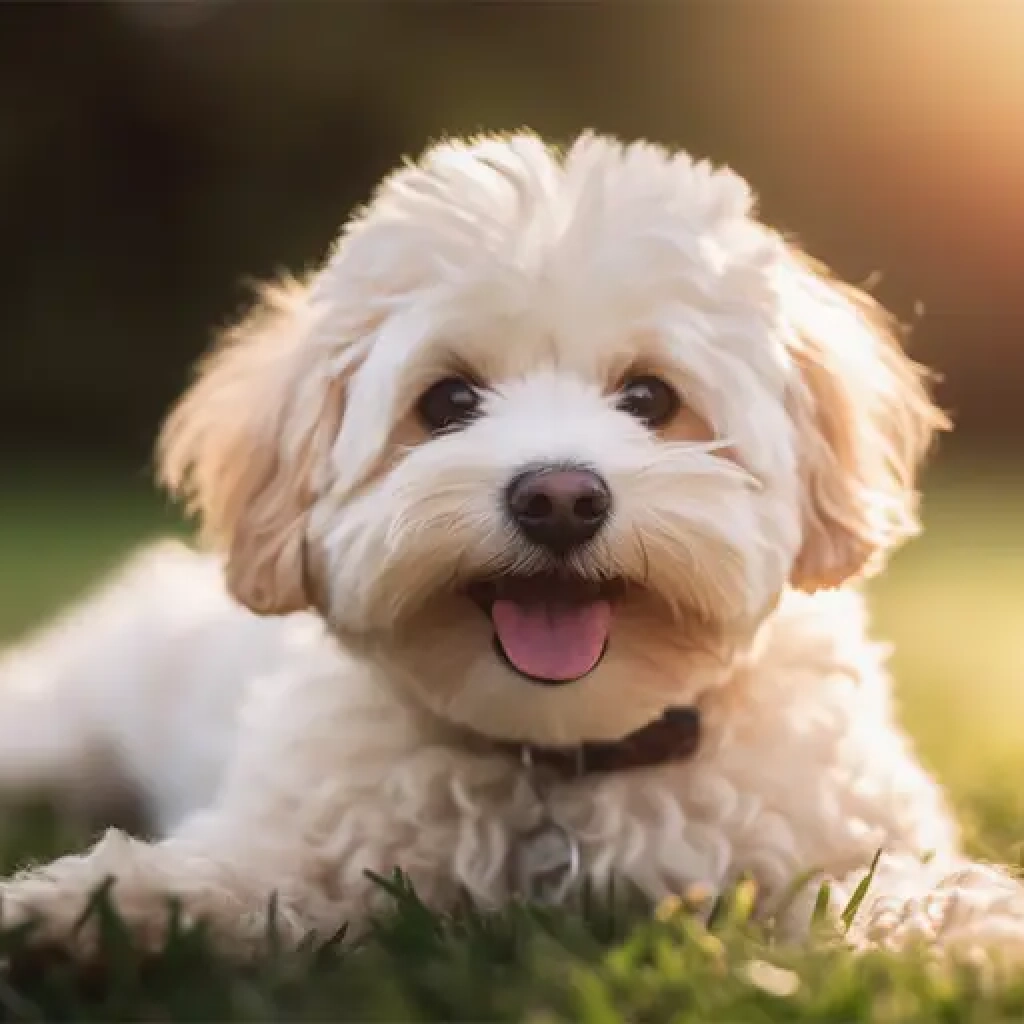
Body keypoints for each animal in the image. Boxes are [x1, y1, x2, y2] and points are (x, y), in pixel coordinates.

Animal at [2, 134, 1024, 958]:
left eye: (650, 397)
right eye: (448, 402)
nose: (560, 498)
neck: (563, 755)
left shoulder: (827, 832)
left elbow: (878, 883)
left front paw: (969, 930)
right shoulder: (303, 843)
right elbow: (219, 877)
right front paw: (84, 911)